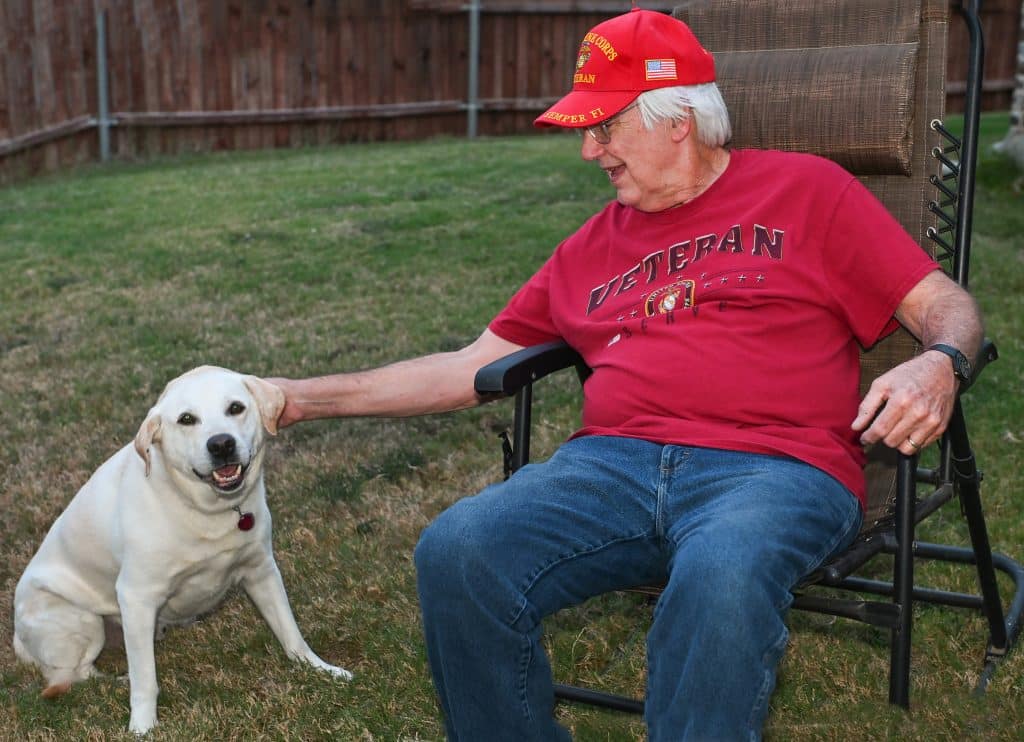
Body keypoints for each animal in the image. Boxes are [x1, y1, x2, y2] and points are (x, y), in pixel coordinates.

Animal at [12, 362, 352, 732]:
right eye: (187, 419)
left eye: (236, 408)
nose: (221, 444)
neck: (205, 509)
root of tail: (17, 640)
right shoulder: (136, 597)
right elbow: (145, 679)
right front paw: (142, 727)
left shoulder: (261, 570)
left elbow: (291, 634)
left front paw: (319, 670)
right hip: (82, 622)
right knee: (76, 674)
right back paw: (118, 680)